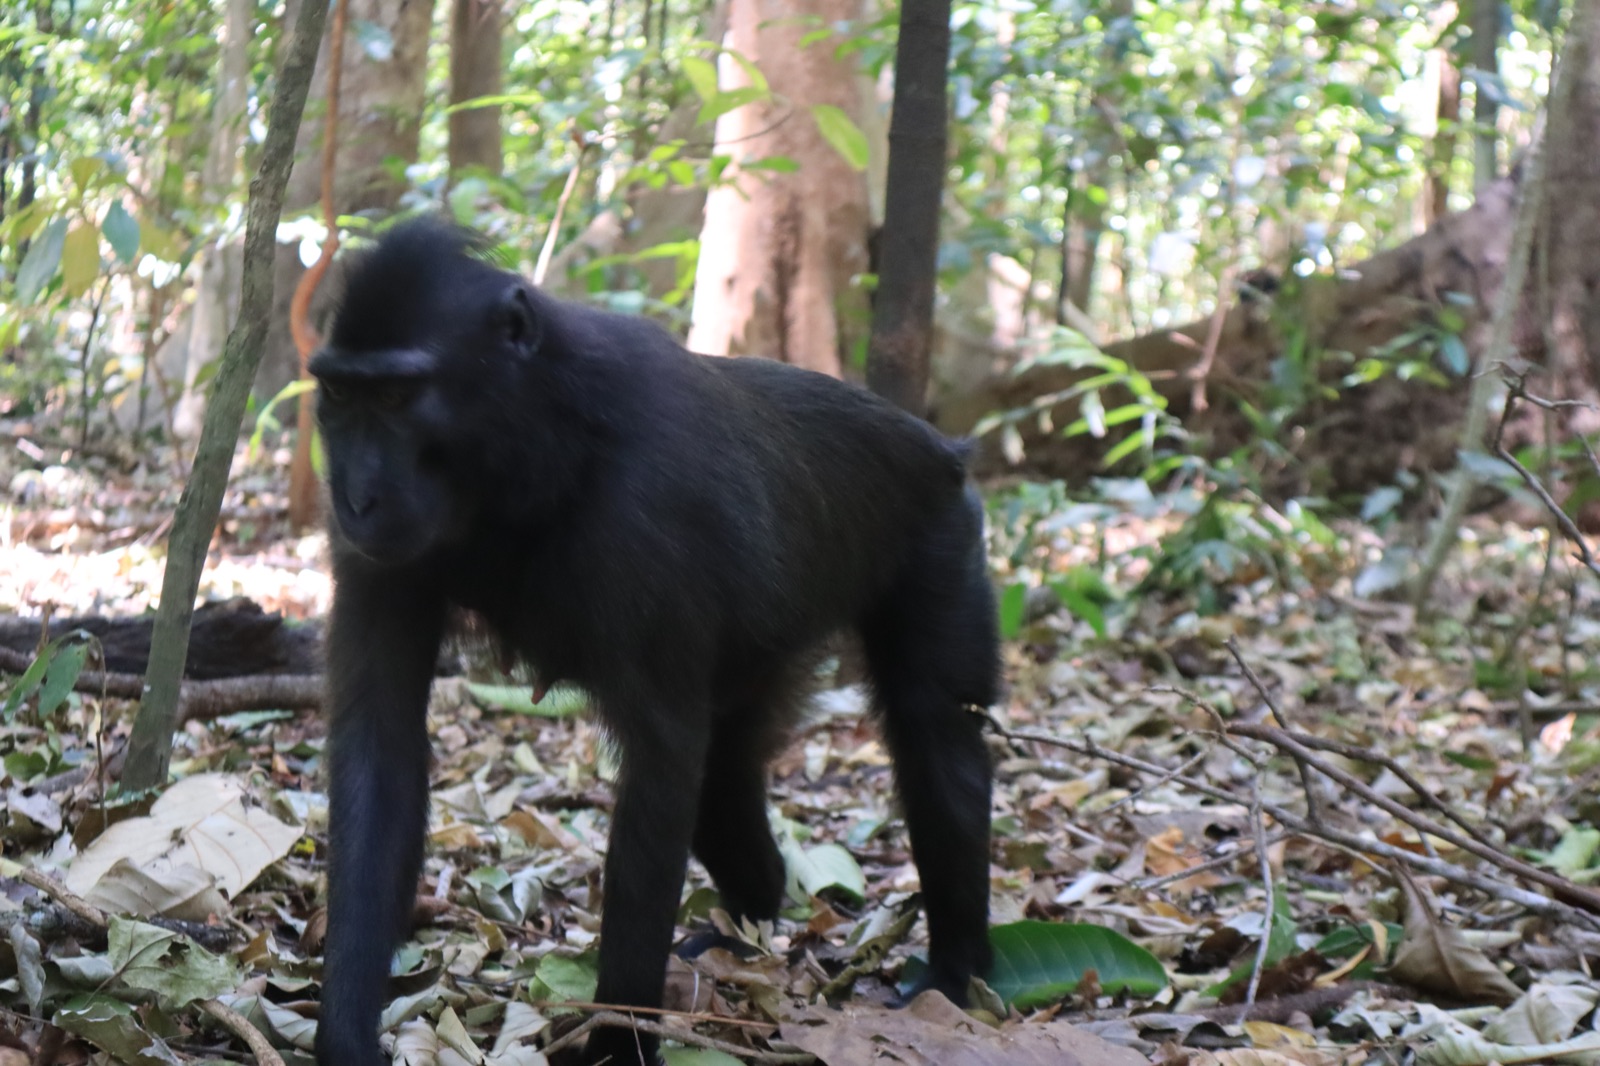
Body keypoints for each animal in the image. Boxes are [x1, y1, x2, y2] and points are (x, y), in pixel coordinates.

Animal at [309, 218, 1000, 1066]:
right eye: (341, 394)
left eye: (399, 396)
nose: (354, 497)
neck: (534, 438)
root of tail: (936, 445)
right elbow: (381, 748)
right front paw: (346, 1035)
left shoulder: (646, 505)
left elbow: (662, 764)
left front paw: (617, 1042)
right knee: (726, 773)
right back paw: (748, 930)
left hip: (943, 532)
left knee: (933, 730)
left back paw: (956, 969)